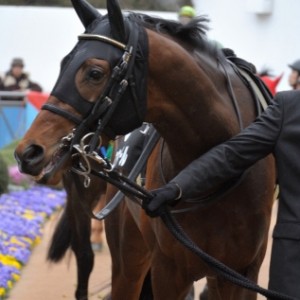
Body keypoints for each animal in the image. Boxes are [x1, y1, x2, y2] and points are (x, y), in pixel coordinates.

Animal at [14, 0, 276, 298]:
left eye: (94, 73)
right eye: (63, 64)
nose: (29, 151)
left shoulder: (241, 272)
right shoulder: (168, 269)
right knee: (88, 257)